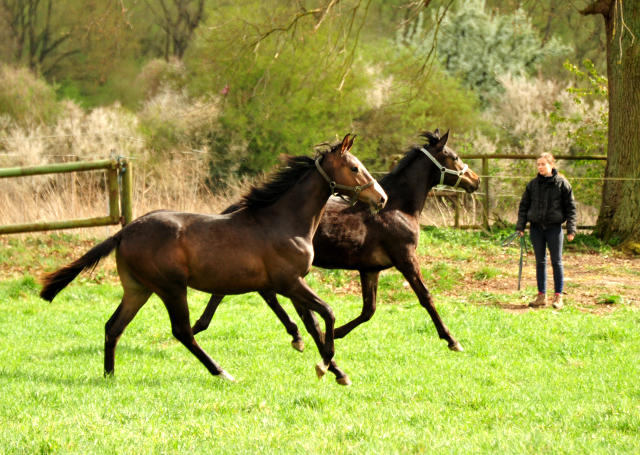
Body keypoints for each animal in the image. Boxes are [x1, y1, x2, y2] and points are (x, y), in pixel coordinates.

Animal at [43, 135, 390, 384]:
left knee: (113, 327)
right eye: (355, 168)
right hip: (171, 288)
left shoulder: (290, 284)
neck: (285, 222)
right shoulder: (289, 282)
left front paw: (337, 372)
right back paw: (222, 372)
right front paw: (326, 365)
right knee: (182, 331)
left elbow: (313, 324)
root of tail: (126, 230)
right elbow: (327, 314)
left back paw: (109, 376)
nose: (382, 198)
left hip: (138, 289)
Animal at [190, 128, 480, 382]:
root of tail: (233, 209)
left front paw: (334, 337)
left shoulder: (370, 269)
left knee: (255, 293)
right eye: (454, 157)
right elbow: (426, 298)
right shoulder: (405, 258)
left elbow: (368, 310)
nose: (475, 180)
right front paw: (452, 341)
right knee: (249, 293)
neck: (399, 208)